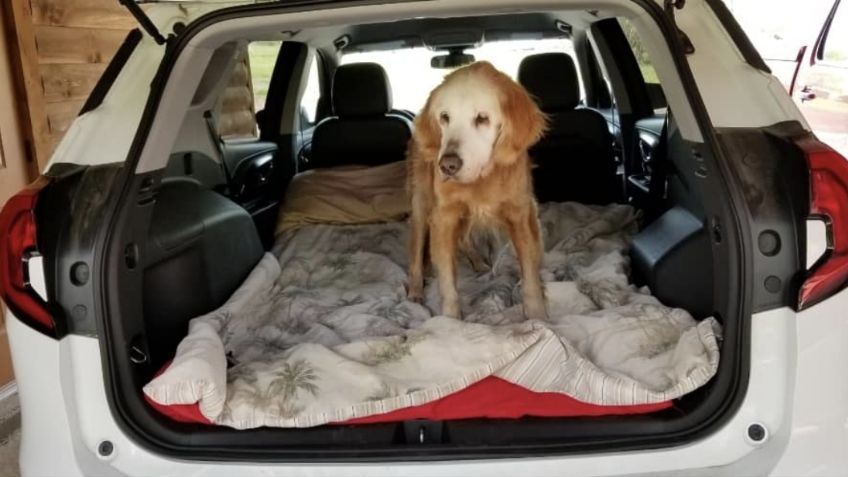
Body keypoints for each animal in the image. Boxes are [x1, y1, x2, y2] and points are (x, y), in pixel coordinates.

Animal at [406, 60, 548, 320]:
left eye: (482, 118)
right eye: (445, 117)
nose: (447, 165)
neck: (481, 179)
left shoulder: (520, 214)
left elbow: (530, 273)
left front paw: (537, 315)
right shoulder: (444, 216)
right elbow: (447, 282)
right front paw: (451, 320)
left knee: (465, 240)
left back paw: (480, 263)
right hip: (421, 204)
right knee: (416, 253)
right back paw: (415, 291)